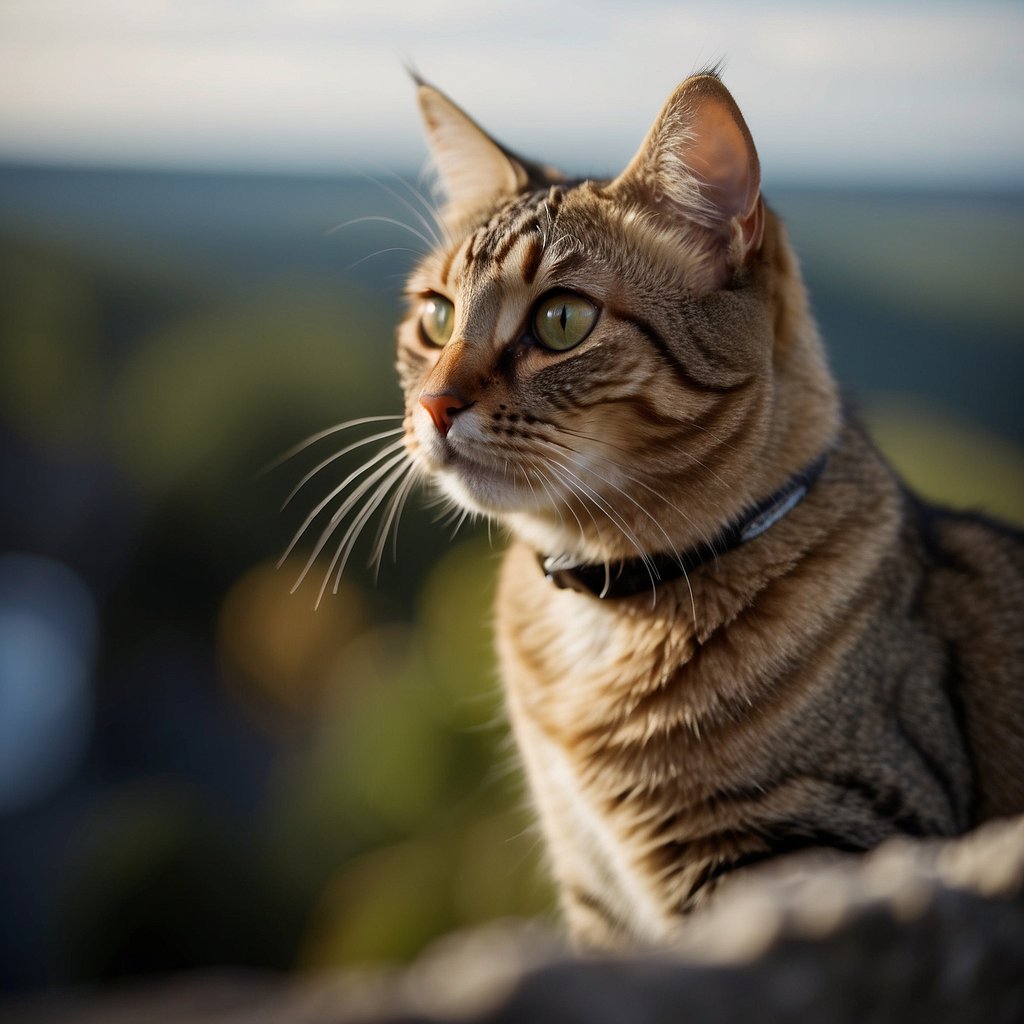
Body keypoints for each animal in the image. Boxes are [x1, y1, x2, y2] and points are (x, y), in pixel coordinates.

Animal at [307, 74, 1024, 950]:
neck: (599, 611)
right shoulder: (595, 892)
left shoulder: (810, 844)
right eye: (435, 318)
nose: (434, 406)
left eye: (562, 320)